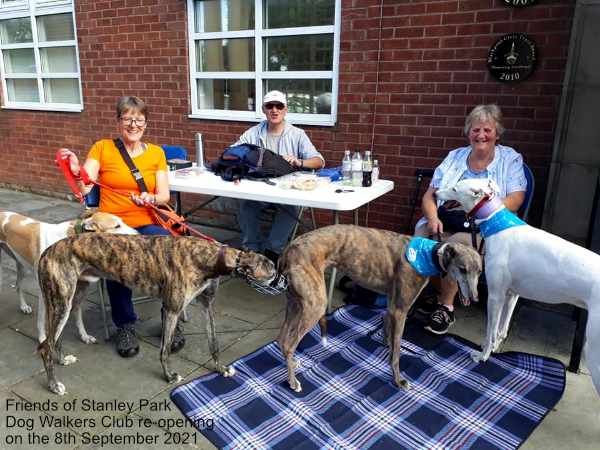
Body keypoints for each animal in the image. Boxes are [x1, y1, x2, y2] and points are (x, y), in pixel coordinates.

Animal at [436, 178, 600, 396]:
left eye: (455, 188)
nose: (435, 192)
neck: (498, 225)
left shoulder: (495, 296)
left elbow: (490, 330)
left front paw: (483, 356)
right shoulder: (511, 295)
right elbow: (500, 330)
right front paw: (494, 347)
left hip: (594, 350)